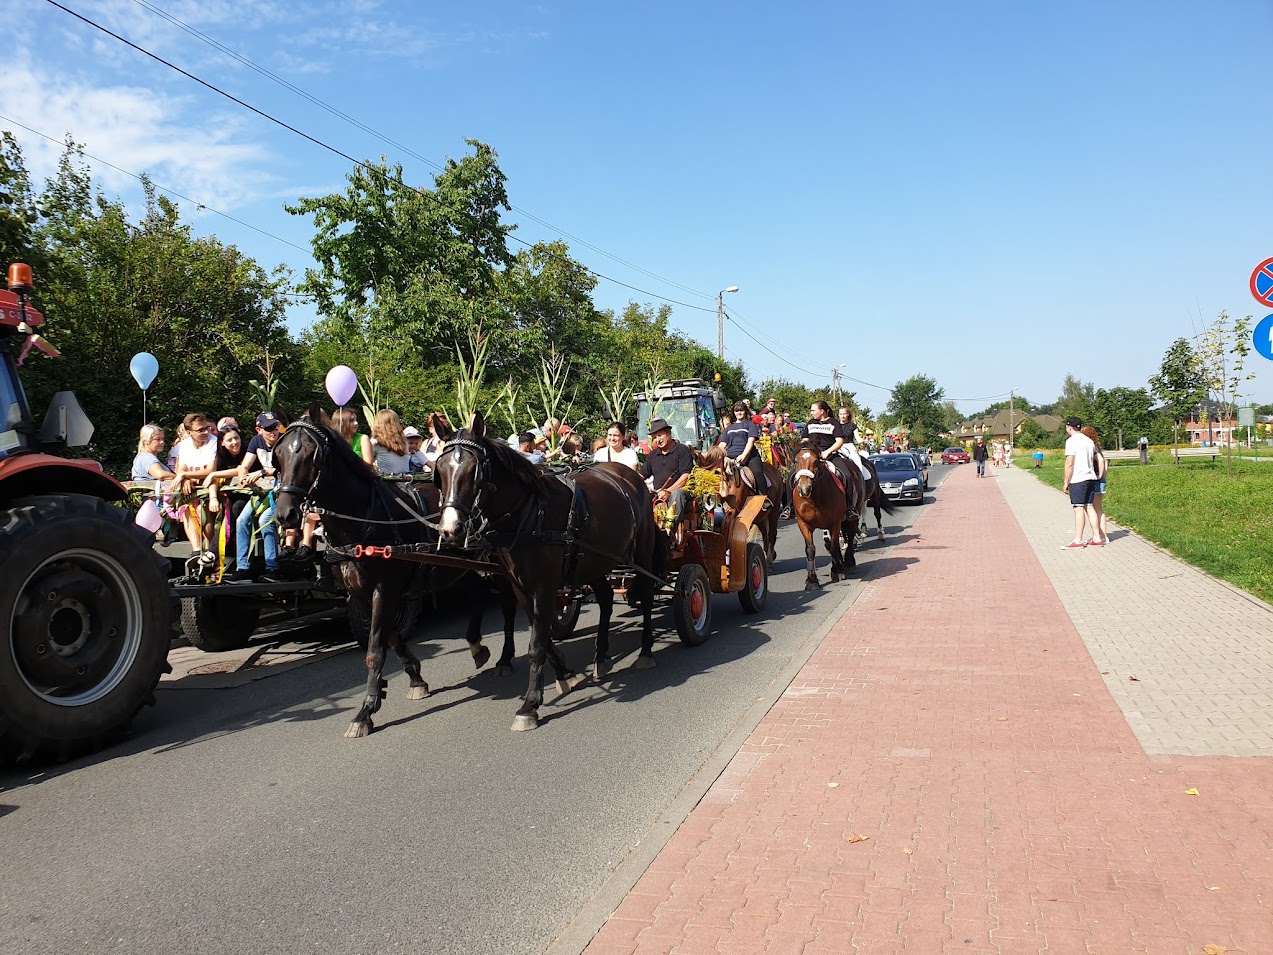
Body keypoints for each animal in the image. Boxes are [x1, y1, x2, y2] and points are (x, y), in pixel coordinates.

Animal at [432, 412, 667, 733]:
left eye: (473, 472)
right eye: (440, 471)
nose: (450, 530)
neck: (528, 513)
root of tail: (630, 476)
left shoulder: (544, 586)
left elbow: (536, 644)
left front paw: (529, 705)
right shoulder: (520, 587)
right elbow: (541, 634)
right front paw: (565, 674)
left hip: (640, 552)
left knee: (645, 595)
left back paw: (645, 651)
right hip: (594, 560)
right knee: (606, 599)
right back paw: (602, 655)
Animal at [784, 448, 865, 590]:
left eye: (816, 461)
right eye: (796, 461)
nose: (804, 489)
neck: (814, 498)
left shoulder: (834, 523)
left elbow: (833, 547)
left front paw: (837, 571)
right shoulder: (803, 524)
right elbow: (811, 549)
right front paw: (812, 580)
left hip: (853, 515)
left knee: (850, 536)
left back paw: (848, 563)